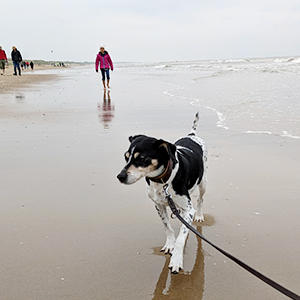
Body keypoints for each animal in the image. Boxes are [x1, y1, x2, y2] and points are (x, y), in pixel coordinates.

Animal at [116, 113, 206, 274]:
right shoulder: (159, 205)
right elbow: (167, 227)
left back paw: (200, 216)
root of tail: (191, 135)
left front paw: (176, 259)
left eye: (142, 159)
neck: (162, 180)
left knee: (200, 200)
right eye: (126, 157)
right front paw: (170, 245)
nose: (120, 176)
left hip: (203, 183)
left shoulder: (188, 209)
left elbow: (180, 238)